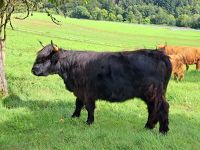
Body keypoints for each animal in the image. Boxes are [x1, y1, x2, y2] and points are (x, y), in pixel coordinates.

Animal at [31, 41, 172, 134]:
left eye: (44, 59)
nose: (33, 70)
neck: (71, 66)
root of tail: (159, 54)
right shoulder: (80, 91)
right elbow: (78, 104)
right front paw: (74, 116)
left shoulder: (87, 92)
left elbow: (89, 107)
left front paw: (89, 122)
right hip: (151, 94)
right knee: (153, 108)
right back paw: (149, 127)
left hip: (153, 92)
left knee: (162, 107)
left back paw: (163, 131)